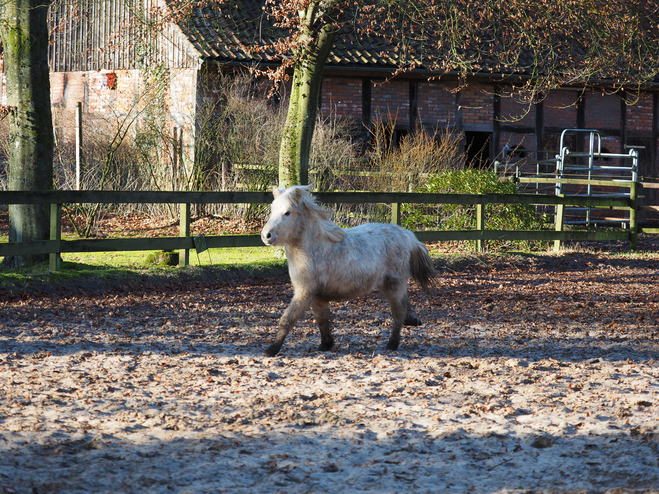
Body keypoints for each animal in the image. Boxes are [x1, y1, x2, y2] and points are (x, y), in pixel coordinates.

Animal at [260, 187, 436, 356]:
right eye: (272, 209)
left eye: (287, 212)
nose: (266, 235)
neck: (314, 249)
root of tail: (407, 234)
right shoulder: (317, 296)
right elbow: (322, 320)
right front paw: (326, 345)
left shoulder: (304, 293)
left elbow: (287, 319)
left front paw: (271, 349)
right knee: (405, 303)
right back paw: (412, 321)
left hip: (393, 284)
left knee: (398, 311)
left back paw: (392, 344)